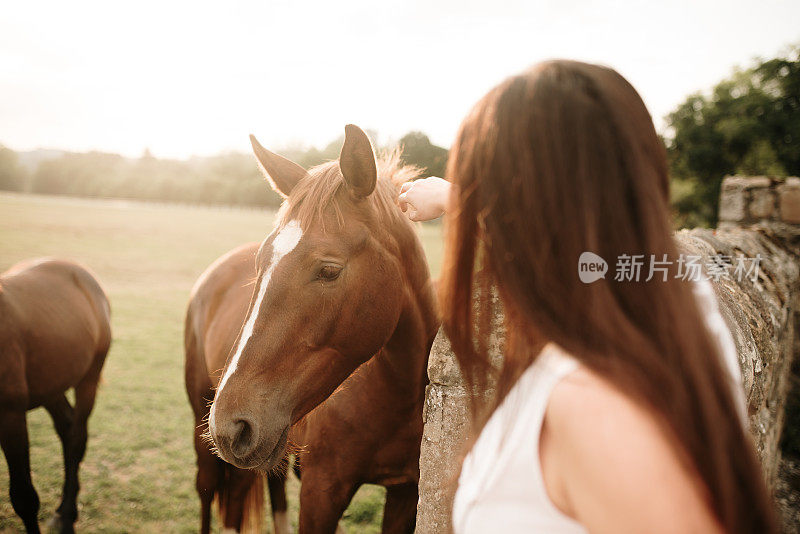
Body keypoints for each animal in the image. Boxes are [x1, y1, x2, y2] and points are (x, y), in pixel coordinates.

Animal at [0, 258, 112, 532]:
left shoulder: (11, 415)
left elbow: (24, 498)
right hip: (51, 386)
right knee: (67, 426)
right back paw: (63, 509)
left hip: (88, 379)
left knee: (76, 440)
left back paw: (68, 514)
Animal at [185, 123, 438, 532]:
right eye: (260, 263)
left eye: (329, 270)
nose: (230, 425)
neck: (398, 394)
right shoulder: (322, 491)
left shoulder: (405, 492)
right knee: (210, 492)